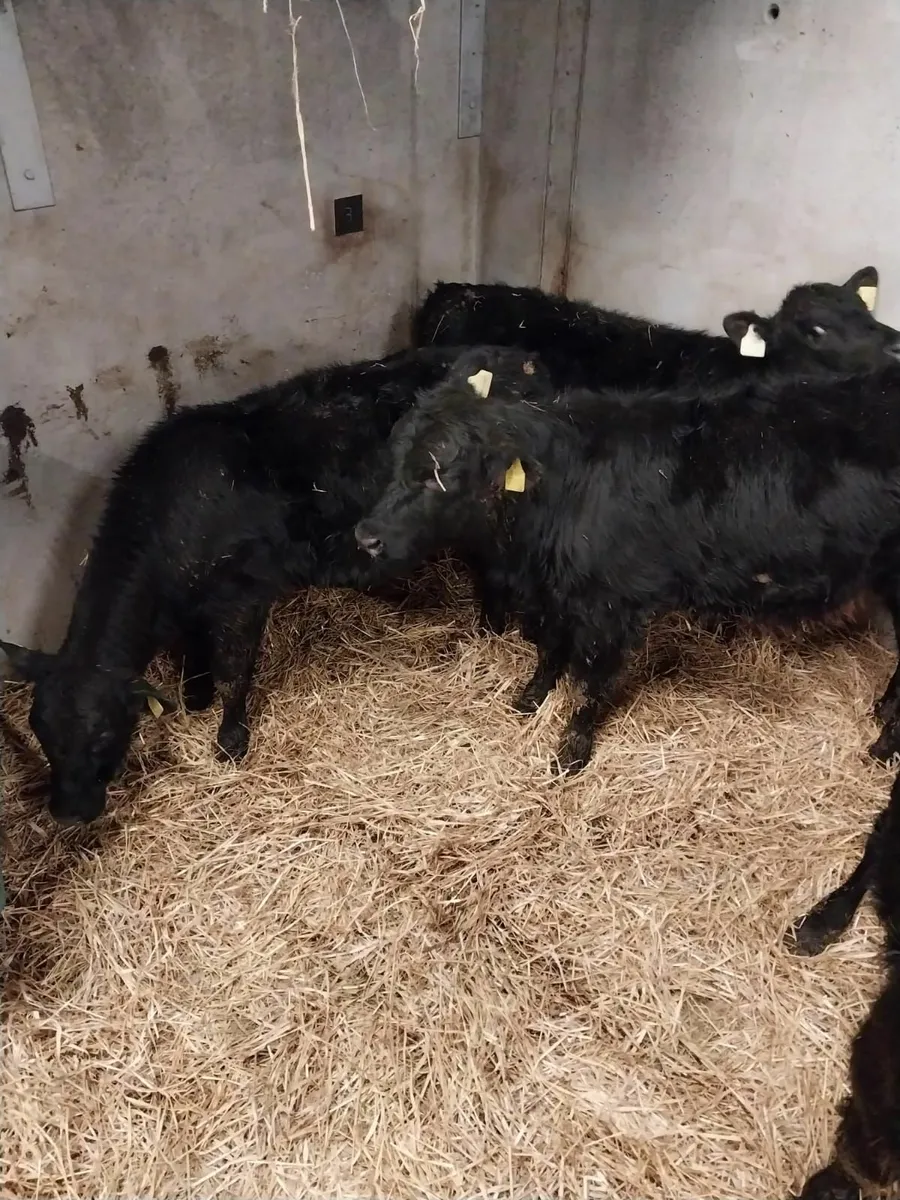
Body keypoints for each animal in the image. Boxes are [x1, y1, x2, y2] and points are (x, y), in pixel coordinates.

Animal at [0, 345, 552, 826]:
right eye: (40, 733)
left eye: (103, 734)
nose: (69, 814)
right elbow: (195, 657)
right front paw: (195, 695)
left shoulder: (243, 595)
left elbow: (235, 671)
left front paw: (230, 740)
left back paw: (489, 630)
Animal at [354, 336, 900, 776]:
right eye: (396, 457)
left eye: (437, 474)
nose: (366, 536)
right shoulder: (558, 594)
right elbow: (549, 651)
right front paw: (530, 700)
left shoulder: (610, 606)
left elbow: (591, 683)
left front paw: (571, 752)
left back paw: (882, 749)